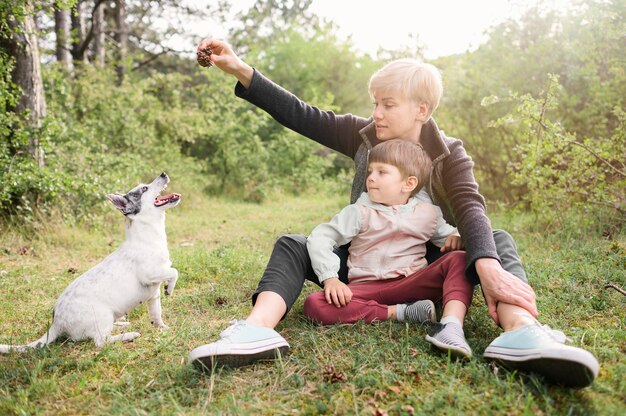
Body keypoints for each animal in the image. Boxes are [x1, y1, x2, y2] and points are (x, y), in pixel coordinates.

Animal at [0, 172, 180, 352]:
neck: (147, 236)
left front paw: (162, 328)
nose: (163, 174)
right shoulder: (150, 275)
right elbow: (174, 272)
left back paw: (121, 324)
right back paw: (128, 335)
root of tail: (57, 323)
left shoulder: (153, 295)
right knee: (101, 341)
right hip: (104, 316)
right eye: (144, 189)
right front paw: (170, 288)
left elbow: (156, 315)